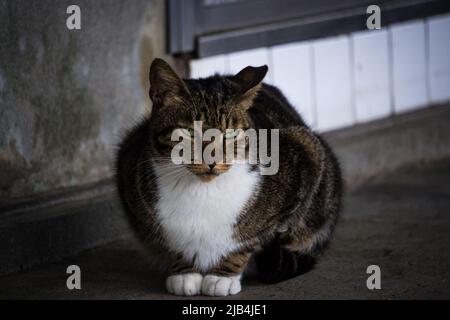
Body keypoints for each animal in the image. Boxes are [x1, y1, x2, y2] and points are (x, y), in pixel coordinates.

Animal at [116, 58, 342, 298]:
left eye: (231, 133)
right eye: (189, 132)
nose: (212, 160)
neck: (202, 190)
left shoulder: (305, 159)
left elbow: (251, 237)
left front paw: (221, 277)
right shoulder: (130, 176)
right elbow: (169, 241)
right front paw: (184, 272)